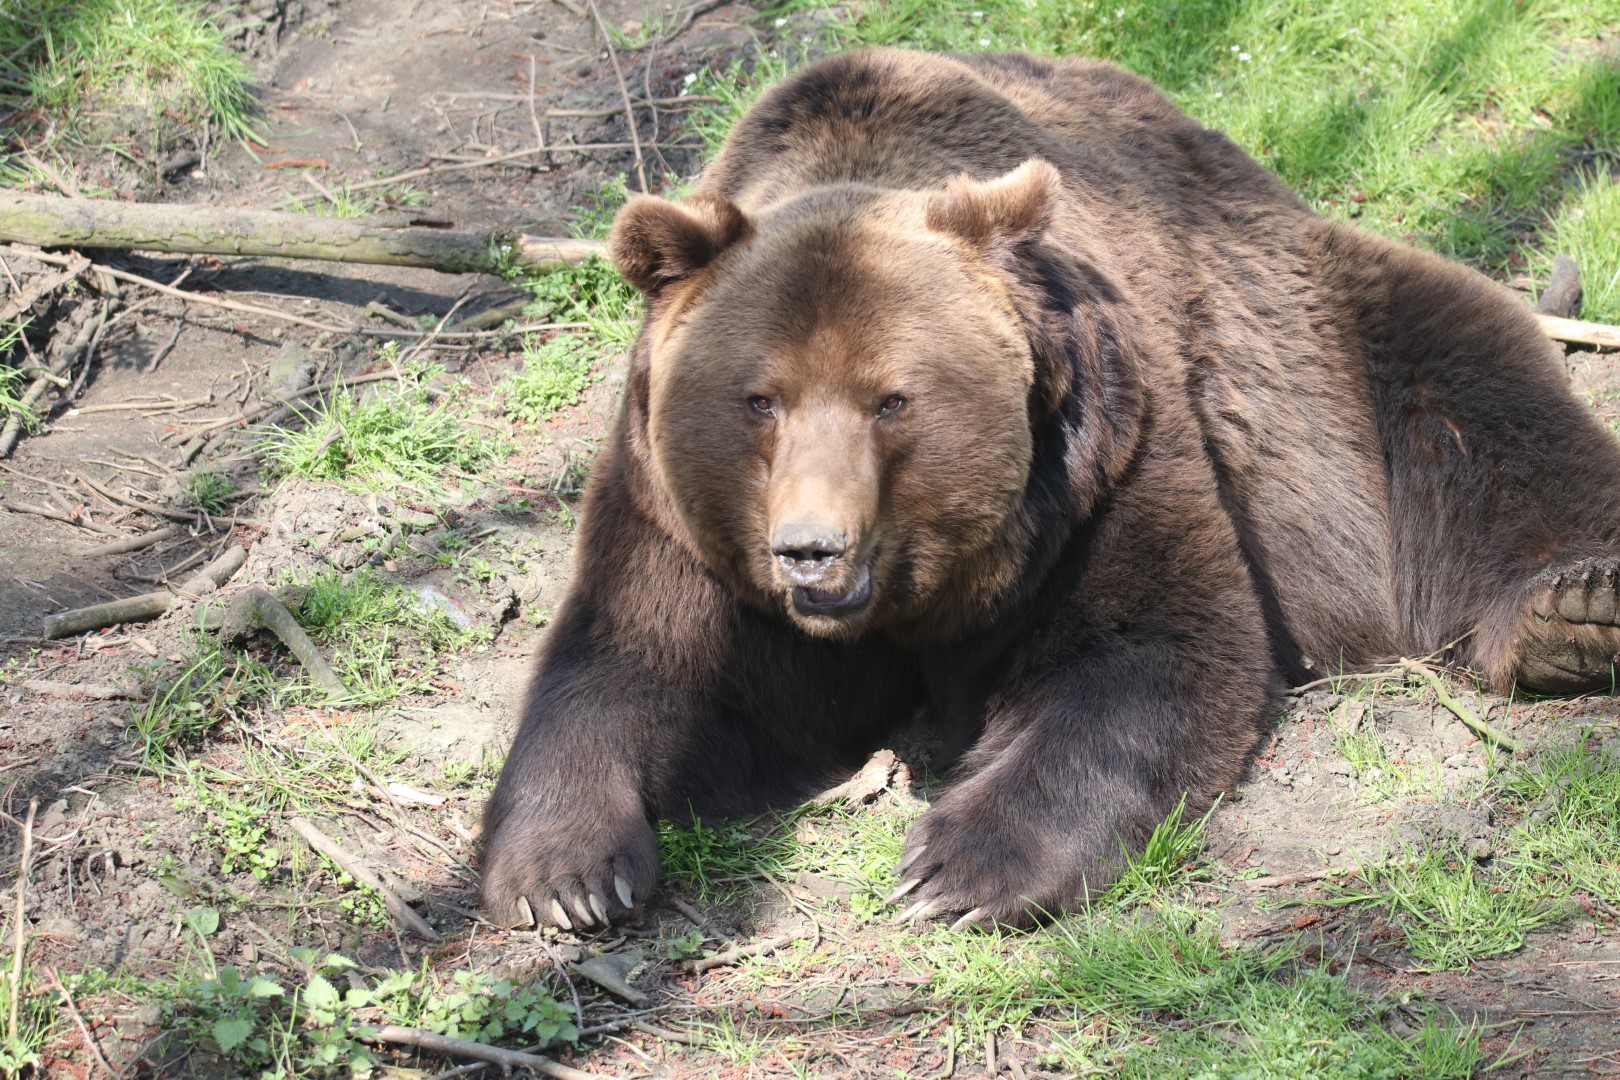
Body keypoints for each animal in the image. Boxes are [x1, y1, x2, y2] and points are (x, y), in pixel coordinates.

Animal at [479, 48, 1620, 932]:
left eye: (892, 400)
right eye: (760, 399)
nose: (811, 547)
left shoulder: (1100, 466)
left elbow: (1142, 648)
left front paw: (957, 867)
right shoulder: (679, 517)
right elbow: (636, 667)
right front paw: (564, 872)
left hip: (1329, 353)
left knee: (1476, 395)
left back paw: (1572, 612)